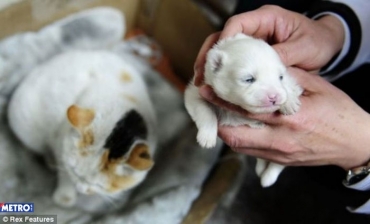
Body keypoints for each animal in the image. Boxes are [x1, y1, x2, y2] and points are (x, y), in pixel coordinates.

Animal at [185, 33, 304, 187]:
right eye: (249, 79)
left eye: (280, 77)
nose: (274, 97)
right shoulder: (196, 91)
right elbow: (204, 110)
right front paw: (207, 137)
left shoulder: (291, 81)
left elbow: (290, 86)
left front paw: (289, 102)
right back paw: (261, 170)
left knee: (278, 163)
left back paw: (267, 177)